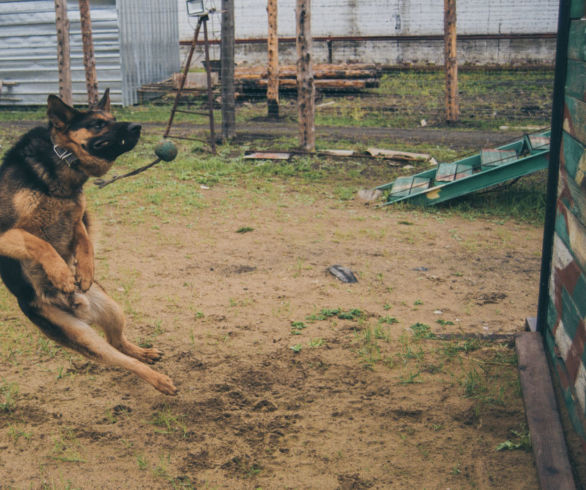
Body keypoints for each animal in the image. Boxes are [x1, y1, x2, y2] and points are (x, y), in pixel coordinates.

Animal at [0, 92, 176, 396]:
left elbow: (84, 241)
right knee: (120, 358)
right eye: (97, 124)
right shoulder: (6, 232)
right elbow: (38, 243)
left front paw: (84, 271)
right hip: (84, 337)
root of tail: (77, 307)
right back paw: (159, 380)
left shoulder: (77, 218)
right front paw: (61, 274)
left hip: (112, 310)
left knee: (119, 343)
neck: (60, 159)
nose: (137, 127)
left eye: (113, 119)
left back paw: (143, 353)